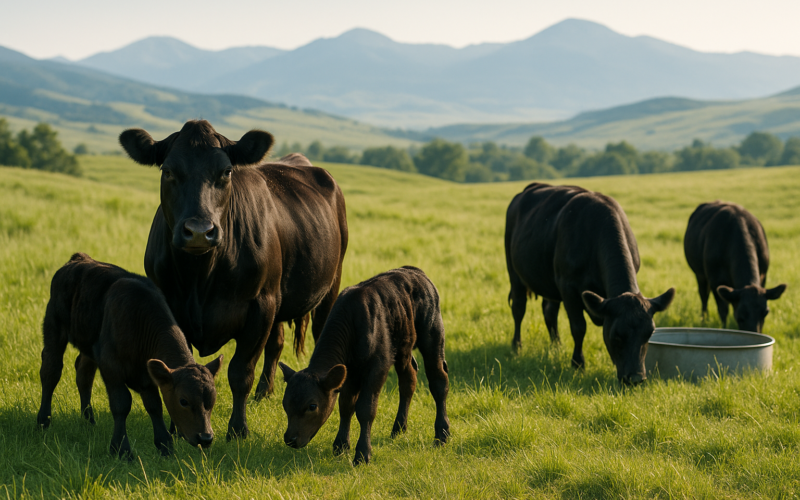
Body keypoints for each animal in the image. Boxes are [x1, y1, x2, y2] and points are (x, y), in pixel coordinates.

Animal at [37, 253, 222, 458]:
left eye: (212, 399)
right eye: (184, 401)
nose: (205, 438)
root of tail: (79, 258)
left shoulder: (148, 375)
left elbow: (154, 406)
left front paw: (165, 445)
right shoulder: (111, 366)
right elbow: (122, 404)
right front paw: (121, 449)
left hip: (90, 344)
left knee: (84, 375)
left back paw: (88, 421)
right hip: (54, 325)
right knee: (51, 371)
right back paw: (43, 420)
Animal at [119, 120, 348, 440]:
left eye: (226, 171)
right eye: (168, 171)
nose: (199, 231)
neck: (200, 276)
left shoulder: (260, 306)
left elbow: (240, 373)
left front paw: (238, 430)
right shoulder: (171, 307)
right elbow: (180, 366)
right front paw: (178, 429)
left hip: (328, 286)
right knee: (276, 344)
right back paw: (265, 392)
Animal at [279, 267, 450, 465]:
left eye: (312, 406)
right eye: (284, 403)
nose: (290, 439)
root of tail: (414, 271)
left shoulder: (378, 365)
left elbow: (365, 408)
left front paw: (362, 453)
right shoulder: (349, 372)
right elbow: (346, 405)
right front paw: (340, 445)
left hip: (433, 334)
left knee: (438, 381)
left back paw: (442, 434)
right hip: (403, 346)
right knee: (408, 379)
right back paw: (398, 428)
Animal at [505, 182, 675, 385]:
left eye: (649, 334)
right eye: (617, 335)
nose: (635, 379)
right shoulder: (568, 287)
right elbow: (579, 327)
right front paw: (578, 364)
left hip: (549, 283)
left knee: (549, 312)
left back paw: (556, 346)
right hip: (514, 272)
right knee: (518, 309)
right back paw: (517, 346)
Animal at [684, 201, 786, 332]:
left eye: (766, 312)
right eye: (740, 316)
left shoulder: (763, 276)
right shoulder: (716, 280)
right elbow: (723, 310)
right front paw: (724, 328)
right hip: (700, 274)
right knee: (704, 296)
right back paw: (704, 319)